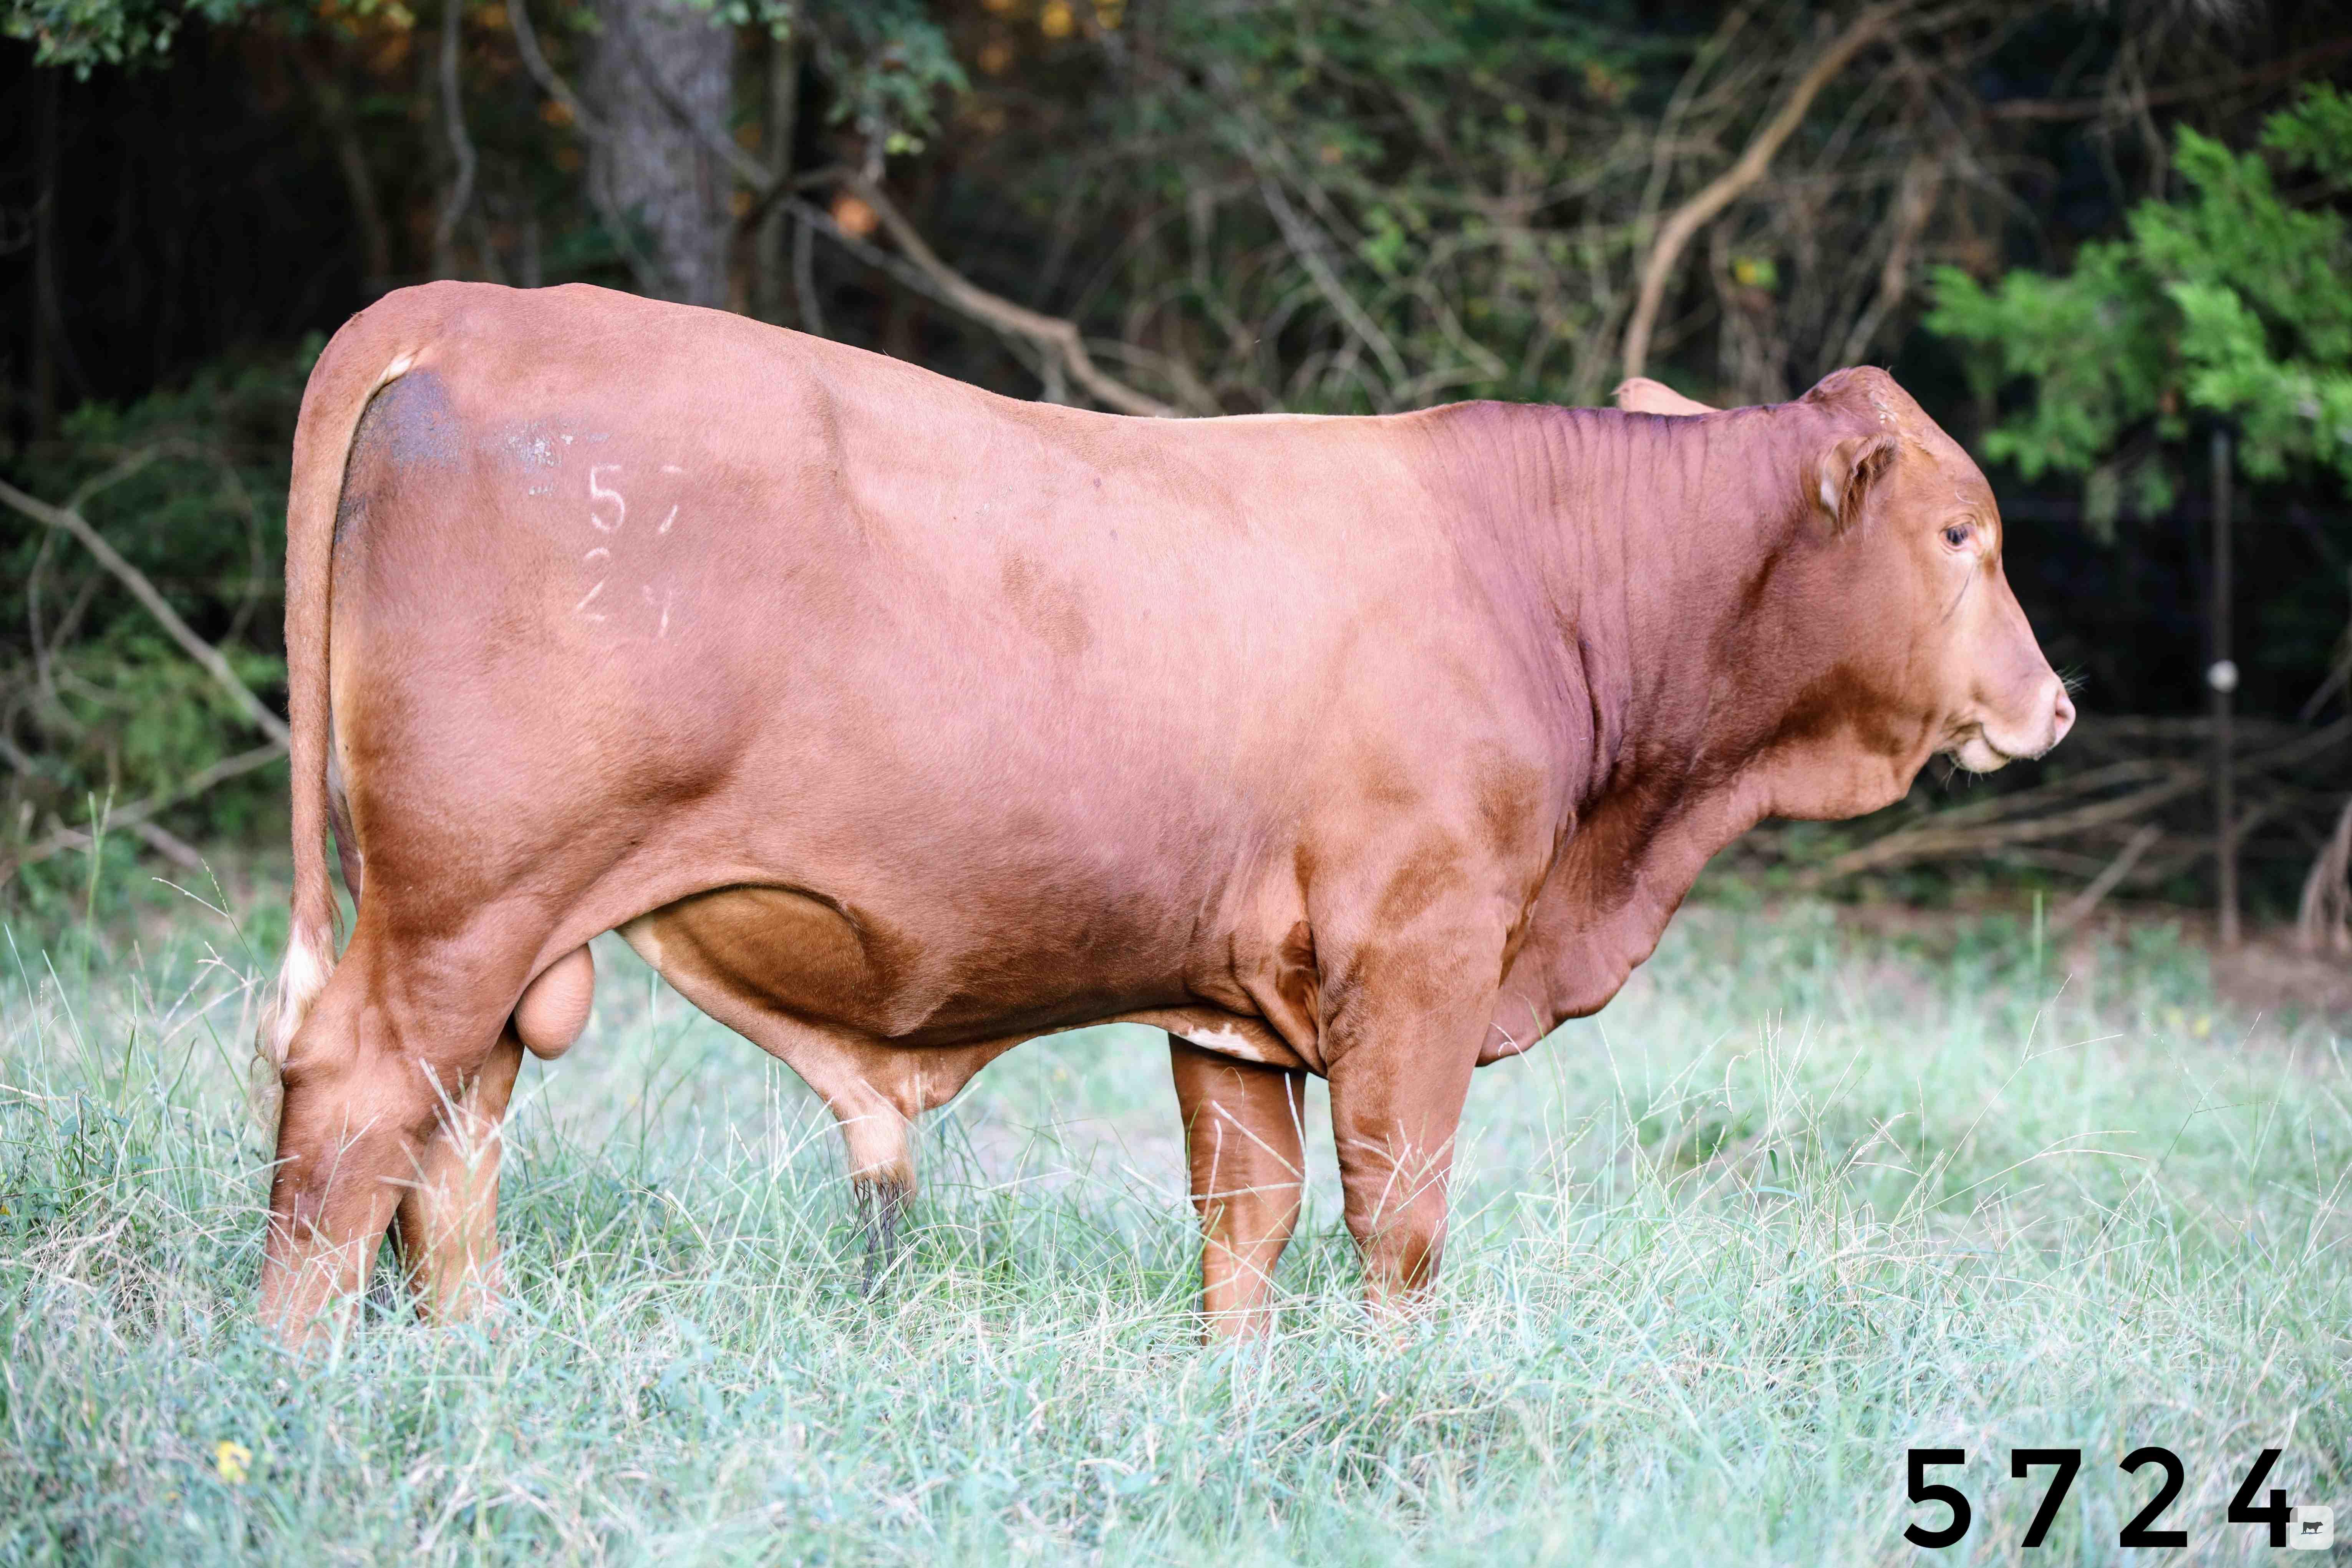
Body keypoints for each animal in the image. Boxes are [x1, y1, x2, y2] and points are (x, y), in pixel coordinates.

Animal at [256, 282, 2073, 1342]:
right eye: (1963, 536)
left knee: (453, 1137)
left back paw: (477, 1362)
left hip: (499, 929)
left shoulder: (1234, 1004)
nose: (2051, 703)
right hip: (467, 898)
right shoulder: (1421, 953)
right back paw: (295, 1378)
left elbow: (1242, 1225)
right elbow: (1397, 1222)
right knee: (355, 1104)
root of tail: (483, 307)